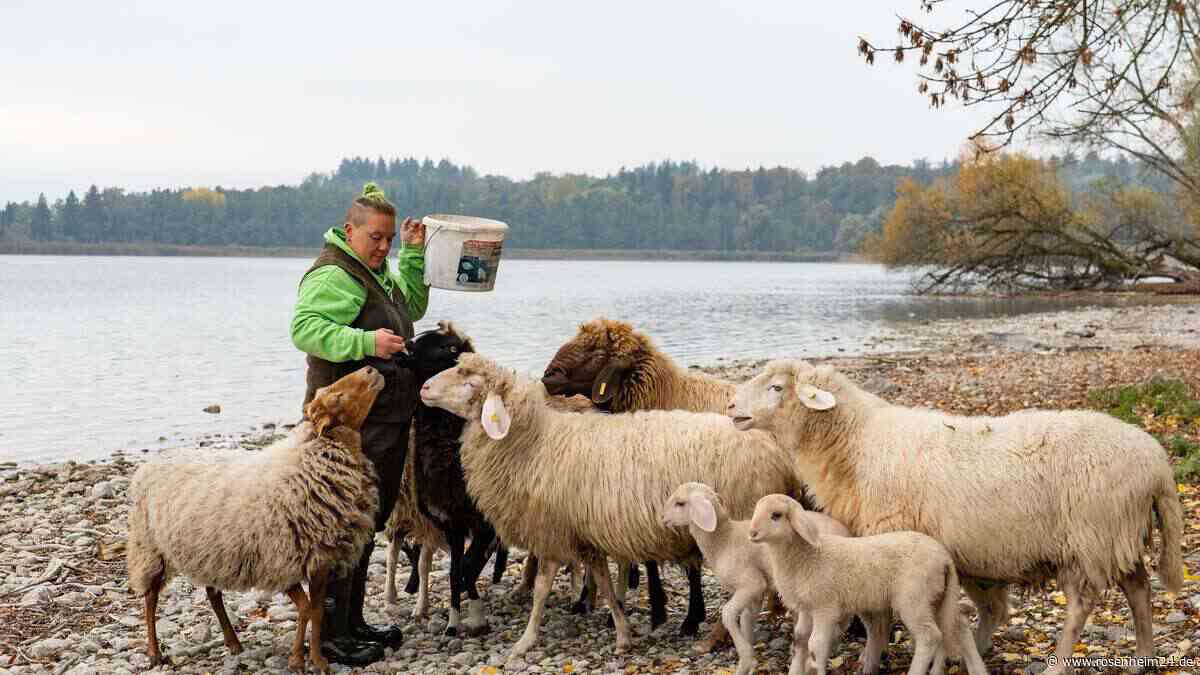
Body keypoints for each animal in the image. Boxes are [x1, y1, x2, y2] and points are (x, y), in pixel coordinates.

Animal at [126, 366, 384, 673]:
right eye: (337, 398)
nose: (371, 368)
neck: (308, 462)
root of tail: (151, 463)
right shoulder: (282, 562)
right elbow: (306, 609)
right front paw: (297, 659)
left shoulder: (320, 562)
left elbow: (317, 610)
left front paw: (318, 660)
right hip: (151, 548)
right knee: (151, 598)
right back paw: (155, 652)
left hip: (210, 553)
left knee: (213, 595)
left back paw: (233, 642)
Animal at [418, 352, 805, 661]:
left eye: (467, 377)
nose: (423, 388)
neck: (534, 441)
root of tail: (776, 452)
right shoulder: (585, 534)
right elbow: (604, 582)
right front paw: (622, 635)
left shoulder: (552, 532)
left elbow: (542, 590)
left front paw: (525, 641)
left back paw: (718, 638)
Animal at [660, 482, 850, 675]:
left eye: (680, 503)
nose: (662, 518)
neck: (724, 539)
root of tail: (846, 532)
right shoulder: (754, 595)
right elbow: (746, 620)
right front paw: (748, 662)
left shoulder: (751, 584)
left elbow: (728, 614)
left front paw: (746, 659)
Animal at [748, 494, 988, 675]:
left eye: (776, 515)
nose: (752, 533)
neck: (807, 557)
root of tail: (944, 558)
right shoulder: (807, 608)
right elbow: (800, 640)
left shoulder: (826, 607)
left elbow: (816, 645)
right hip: (938, 596)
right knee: (958, 627)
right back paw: (975, 669)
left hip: (914, 598)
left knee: (930, 636)